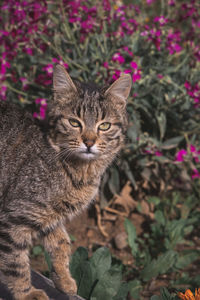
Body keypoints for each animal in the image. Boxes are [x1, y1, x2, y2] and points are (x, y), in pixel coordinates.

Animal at [0, 64, 132, 298]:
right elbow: (16, 263)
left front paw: (63, 279)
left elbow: (62, 243)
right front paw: (27, 294)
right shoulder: (13, 219)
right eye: (73, 122)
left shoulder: (51, 217)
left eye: (104, 126)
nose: (89, 142)